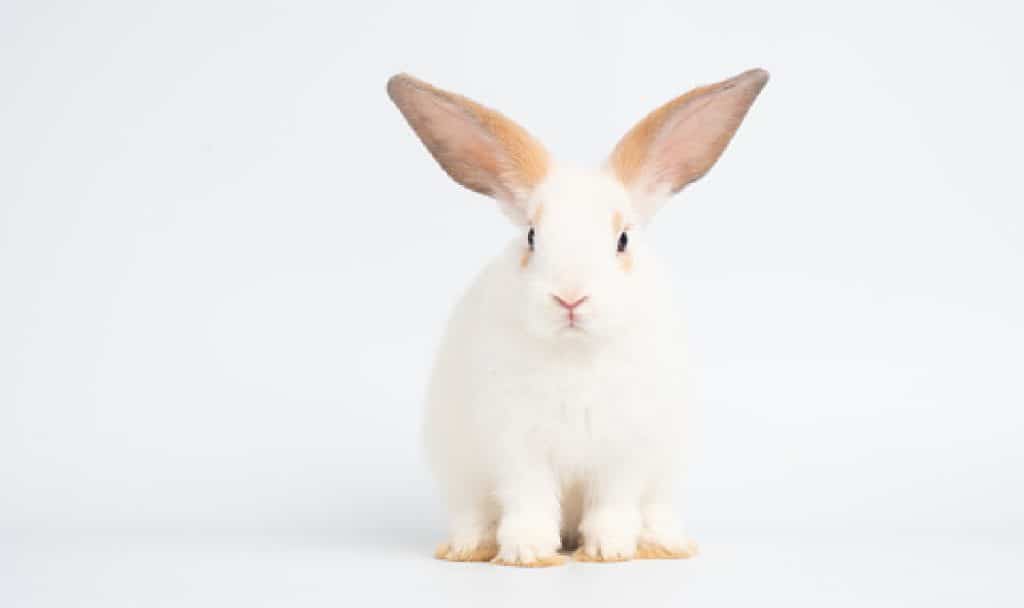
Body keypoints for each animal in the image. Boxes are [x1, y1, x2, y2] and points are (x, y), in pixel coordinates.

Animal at [385, 67, 770, 565]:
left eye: (622, 240)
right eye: (531, 236)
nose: (570, 298)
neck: (576, 353)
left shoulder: (625, 452)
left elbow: (612, 504)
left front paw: (609, 551)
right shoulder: (516, 446)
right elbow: (528, 500)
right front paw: (526, 553)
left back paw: (665, 543)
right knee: (473, 514)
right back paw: (468, 547)